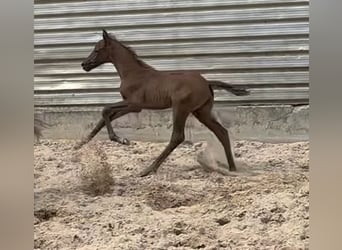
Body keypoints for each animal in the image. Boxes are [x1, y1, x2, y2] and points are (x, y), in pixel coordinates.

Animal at [76, 29, 250, 177]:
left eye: (97, 50)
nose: (84, 64)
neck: (133, 73)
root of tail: (207, 82)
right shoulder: (132, 107)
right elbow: (107, 116)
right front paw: (80, 144)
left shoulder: (134, 104)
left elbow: (105, 109)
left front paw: (121, 140)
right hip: (202, 112)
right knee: (222, 132)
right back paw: (232, 168)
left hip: (181, 108)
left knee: (178, 137)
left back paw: (148, 169)